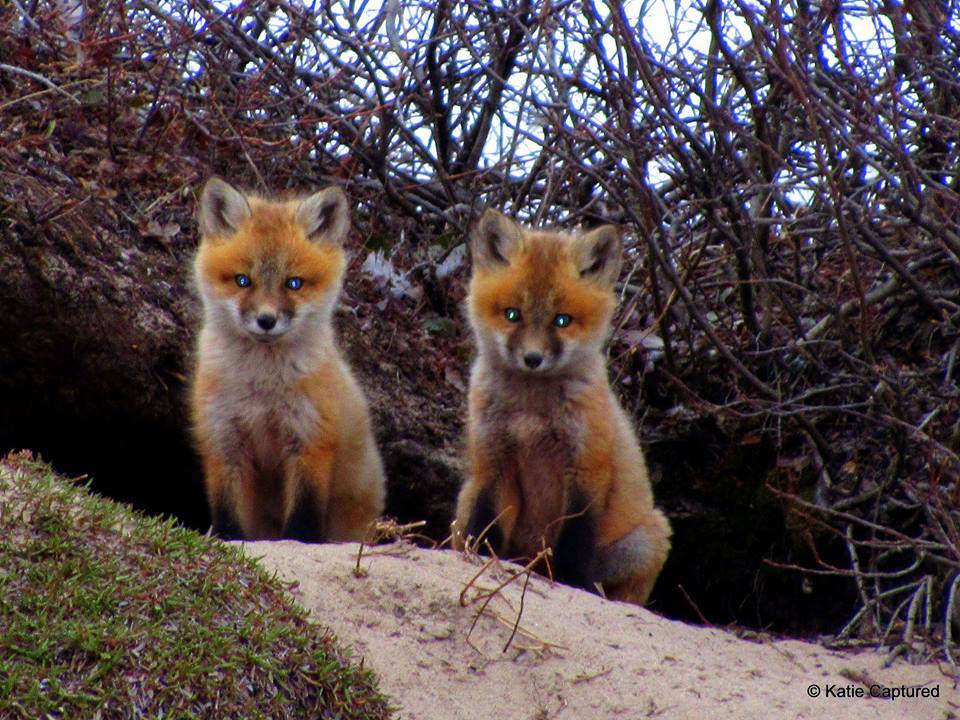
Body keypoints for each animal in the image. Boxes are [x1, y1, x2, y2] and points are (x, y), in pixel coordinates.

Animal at [191, 177, 386, 542]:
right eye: (242, 280)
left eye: (293, 283)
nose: (266, 320)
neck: (262, 389)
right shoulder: (224, 441)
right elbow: (228, 516)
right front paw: (229, 539)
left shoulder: (310, 440)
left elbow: (303, 520)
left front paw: (299, 540)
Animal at [452, 209, 671, 605]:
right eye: (512, 315)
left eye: (562, 320)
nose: (532, 359)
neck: (531, 415)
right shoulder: (494, 464)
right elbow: (486, 528)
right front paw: (479, 562)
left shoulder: (586, 470)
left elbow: (574, 542)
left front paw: (571, 582)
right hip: (467, 493)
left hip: (648, 538)